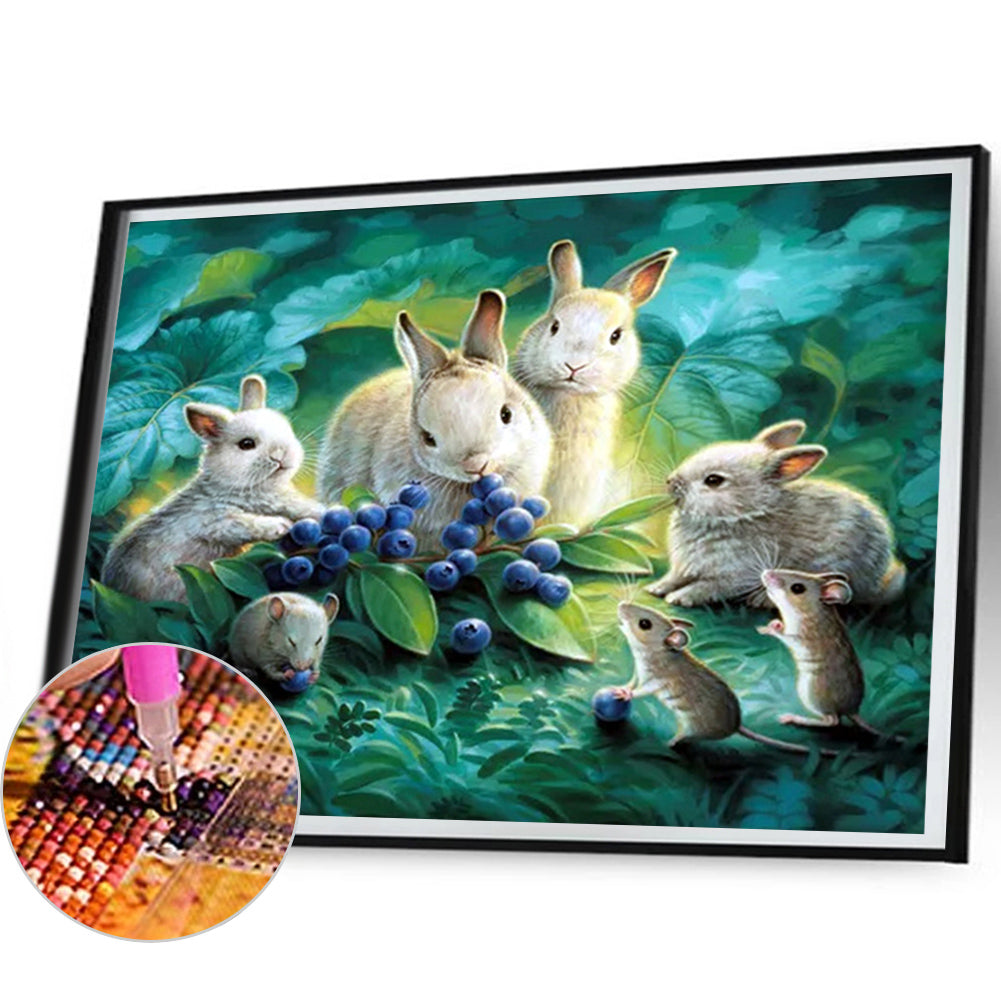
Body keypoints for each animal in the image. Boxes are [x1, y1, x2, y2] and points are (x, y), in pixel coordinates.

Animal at [102, 375, 323, 603]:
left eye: (288, 430)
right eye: (246, 444)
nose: (281, 454)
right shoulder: (212, 521)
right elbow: (243, 523)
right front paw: (280, 525)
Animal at [646, 419, 907, 607]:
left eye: (713, 480)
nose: (671, 482)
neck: (739, 514)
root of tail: (876, 582)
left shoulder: (737, 574)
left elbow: (708, 587)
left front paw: (679, 598)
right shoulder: (683, 567)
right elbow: (673, 577)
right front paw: (655, 588)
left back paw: (760, 600)